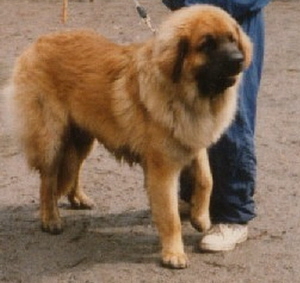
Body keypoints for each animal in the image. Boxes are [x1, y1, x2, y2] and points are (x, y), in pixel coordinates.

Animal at [5, 5, 252, 270]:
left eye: (232, 39)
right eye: (207, 44)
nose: (238, 60)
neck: (184, 95)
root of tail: (37, 44)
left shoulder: (192, 142)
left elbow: (207, 179)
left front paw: (201, 218)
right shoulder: (162, 169)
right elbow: (171, 216)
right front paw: (174, 253)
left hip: (83, 138)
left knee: (74, 168)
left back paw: (78, 198)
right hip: (52, 139)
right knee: (47, 181)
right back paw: (50, 219)